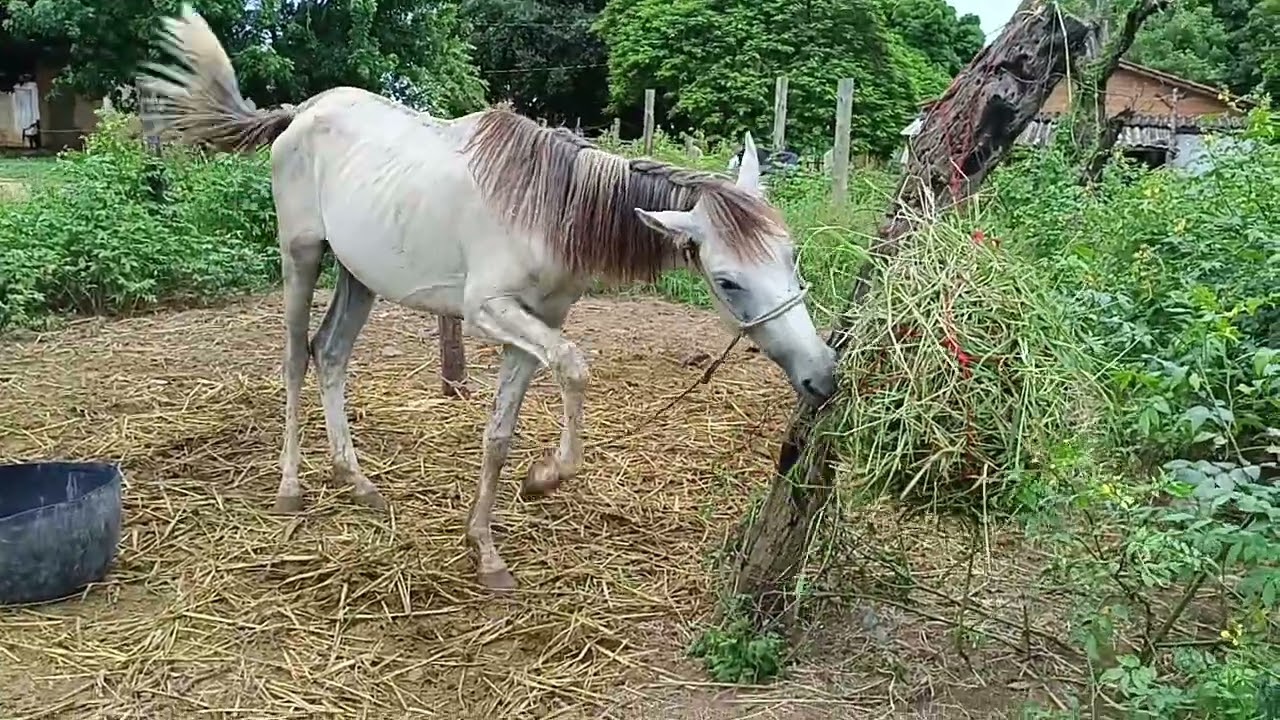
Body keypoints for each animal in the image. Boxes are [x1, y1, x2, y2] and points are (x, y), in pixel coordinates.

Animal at [141, 6, 837, 591]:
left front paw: (487, 546)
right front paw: (543, 481)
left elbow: (500, 432)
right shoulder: (488, 313)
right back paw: (291, 489)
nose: (823, 376)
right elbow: (575, 368)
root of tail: (298, 112)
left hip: (359, 277)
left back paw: (357, 482)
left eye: (793, 255)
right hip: (303, 257)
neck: (551, 207)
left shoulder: (538, 322)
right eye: (728, 281)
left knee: (329, 354)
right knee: (292, 359)